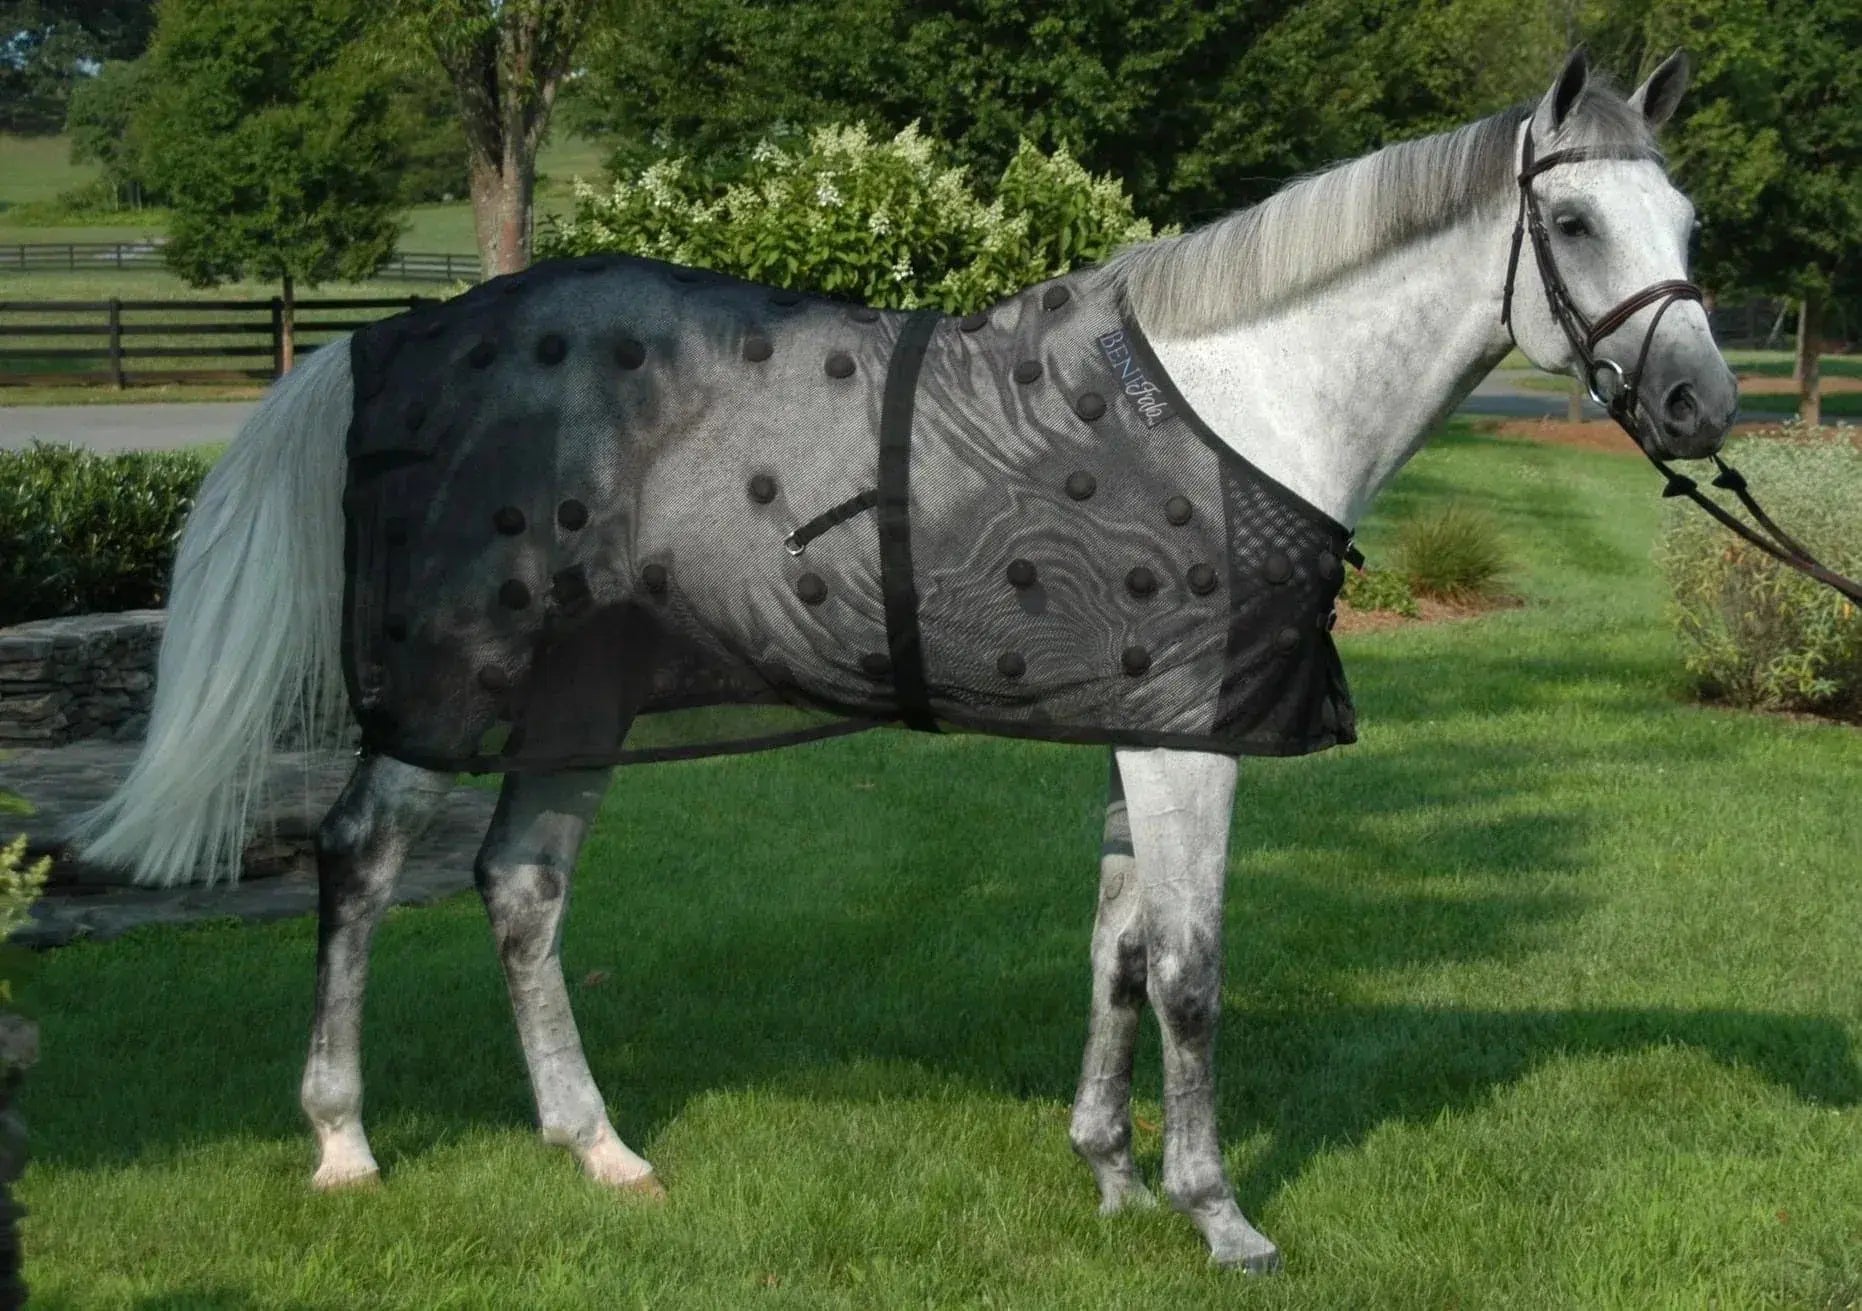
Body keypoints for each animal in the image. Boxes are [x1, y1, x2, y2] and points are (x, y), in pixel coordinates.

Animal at [78, 50, 1736, 1271]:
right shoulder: (1187, 737)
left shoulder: (1130, 725)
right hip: (447, 688)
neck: (1239, 401)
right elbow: (1189, 969)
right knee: (359, 860)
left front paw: (1108, 1174)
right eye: (1573, 227)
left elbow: (1112, 950)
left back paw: (597, 1145)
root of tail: (392, 336)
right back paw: (343, 1140)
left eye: (1687, 231)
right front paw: (1217, 1213)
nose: (1701, 406)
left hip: (581, 696)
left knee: (522, 884)